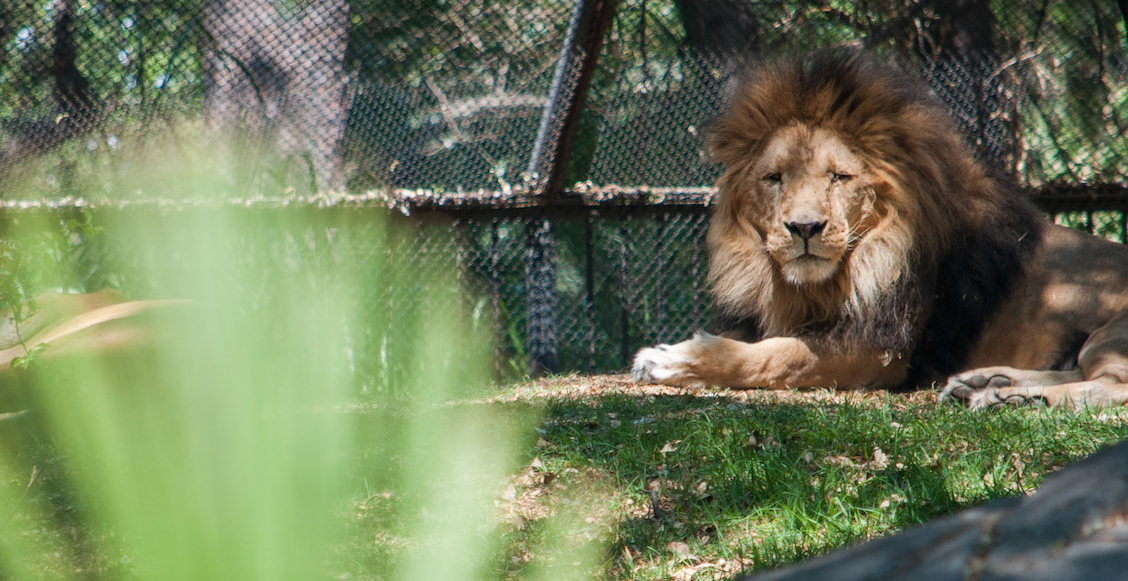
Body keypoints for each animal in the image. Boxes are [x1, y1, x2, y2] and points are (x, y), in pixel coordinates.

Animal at [631, 52, 1128, 410]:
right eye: (774, 178)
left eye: (838, 177)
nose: (805, 227)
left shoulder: (879, 352)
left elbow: (777, 355)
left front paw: (670, 359)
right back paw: (985, 381)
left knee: (1108, 386)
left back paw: (1009, 398)